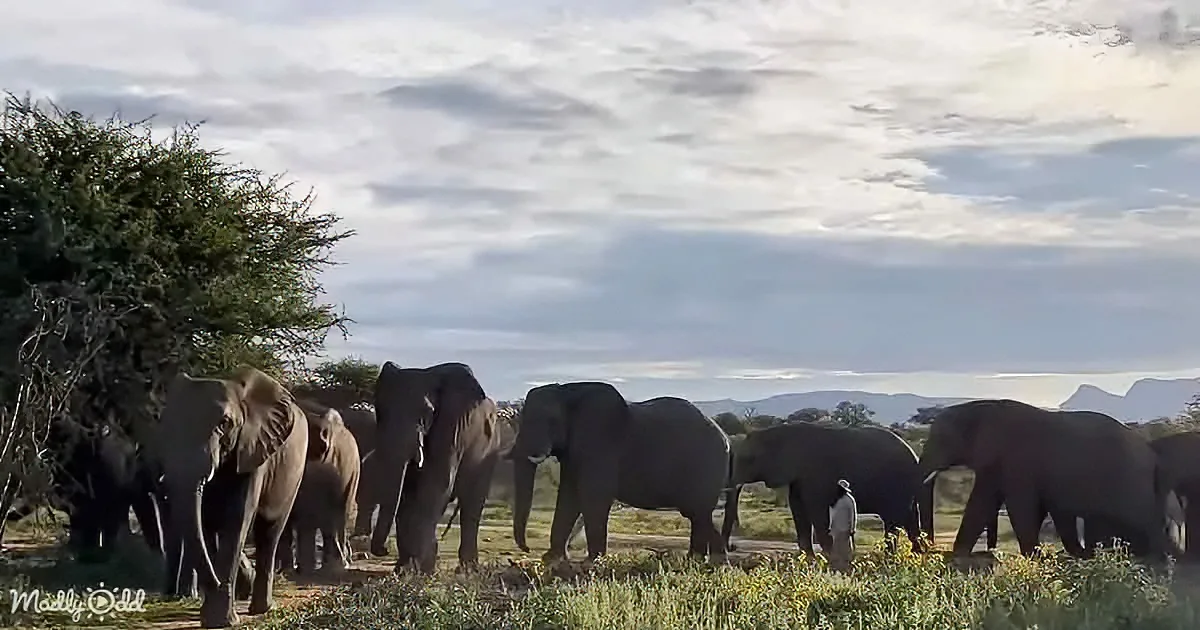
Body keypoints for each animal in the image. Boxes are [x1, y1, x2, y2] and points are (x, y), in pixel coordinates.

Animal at [153, 367, 308, 628]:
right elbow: (204, 522)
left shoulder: (254, 448)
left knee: (269, 532)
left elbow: (236, 520)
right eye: (165, 424)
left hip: (293, 474)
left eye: (224, 424)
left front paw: (222, 621)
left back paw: (263, 608)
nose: (217, 583)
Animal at [369, 361, 500, 574]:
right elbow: (408, 491)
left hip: (490, 450)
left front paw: (421, 571)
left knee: (472, 504)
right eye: (380, 411)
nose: (384, 550)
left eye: (426, 412)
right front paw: (405, 570)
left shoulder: (453, 425)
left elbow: (436, 482)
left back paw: (468, 570)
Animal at [510, 383, 732, 562]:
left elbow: (593, 496)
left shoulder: (600, 442)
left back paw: (708, 560)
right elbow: (568, 497)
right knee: (697, 514)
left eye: (550, 419)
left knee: (698, 512)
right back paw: (700, 559)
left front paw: (594, 561)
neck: (567, 392)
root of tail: (725, 438)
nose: (527, 549)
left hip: (707, 465)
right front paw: (552, 559)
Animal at [722, 422, 924, 555]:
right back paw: (918, 554)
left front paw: (826, 554)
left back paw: (891, 557)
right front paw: (807, 558)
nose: (732, 547)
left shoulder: (815, 475)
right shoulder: (799, 477)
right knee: (910, 518)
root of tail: (914, 456)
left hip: (898, 484)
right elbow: (798, 510)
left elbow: (816, 510)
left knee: (893, 521)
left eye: (749, 459)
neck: (781, 432)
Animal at [918, 399, 1180, 560]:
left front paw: (1033, 556)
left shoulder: (1018, 461)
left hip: (1130, 481)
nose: (928, 549)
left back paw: (1163, 560)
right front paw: (959, 555)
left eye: (940, 439)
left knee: (1143, 520)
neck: (981, 406)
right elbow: (983, 502)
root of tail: (1152, 455)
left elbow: (1019, 506)